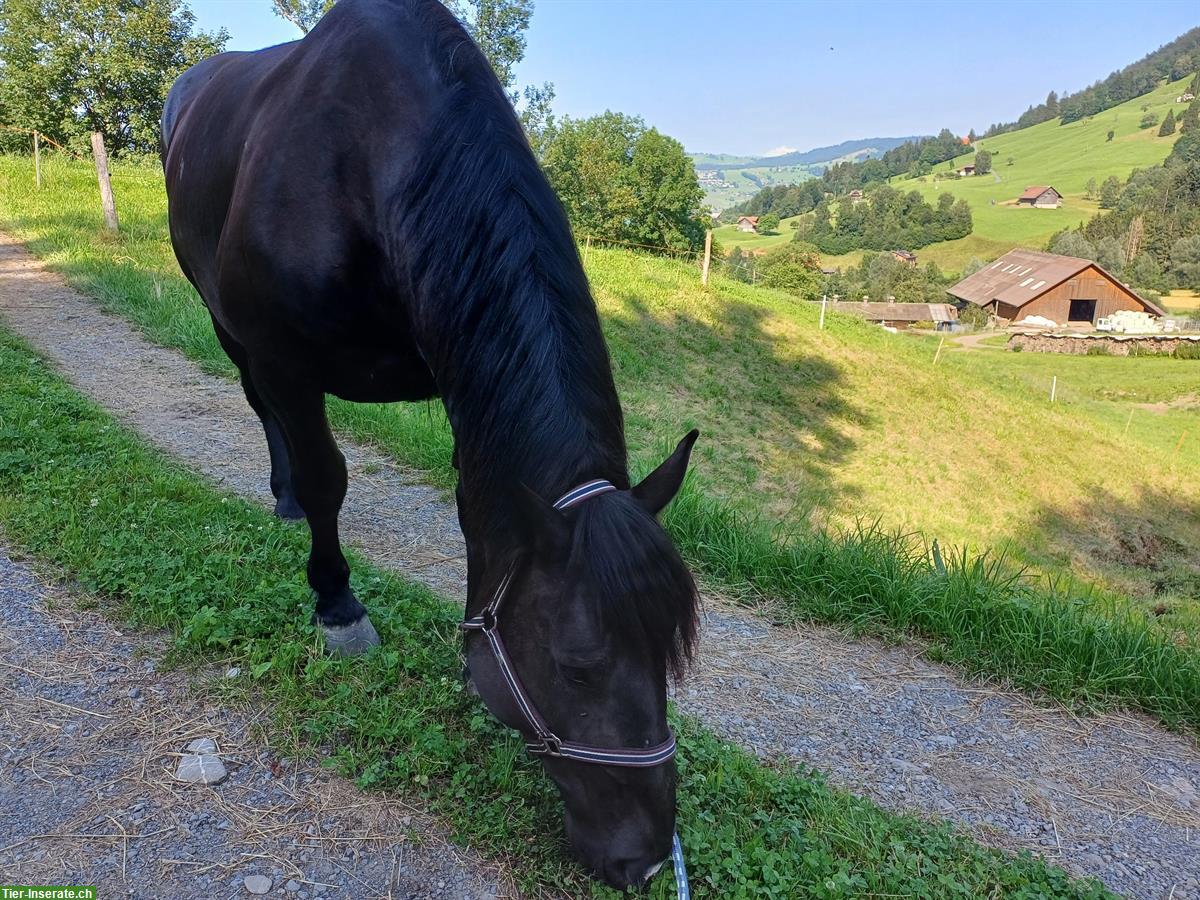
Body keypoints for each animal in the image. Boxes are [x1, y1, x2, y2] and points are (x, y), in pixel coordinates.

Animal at [162, 0, 700, 888]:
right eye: (577, 666)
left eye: (669, 655)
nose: (647, 860)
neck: (365, 156)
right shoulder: (284, 359)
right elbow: (327, 478)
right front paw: (337, 606)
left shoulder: (460, 367)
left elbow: (475, 510)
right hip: (223, 323)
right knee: (261, 410)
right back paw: (282, 495)